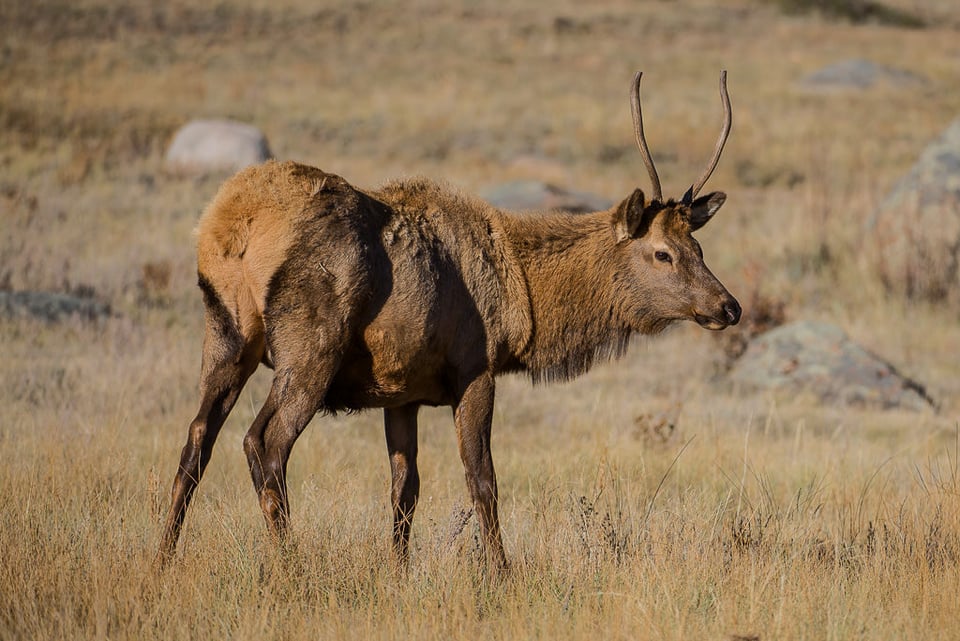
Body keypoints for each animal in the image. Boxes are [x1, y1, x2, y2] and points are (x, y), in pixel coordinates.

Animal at [159, 71, 744, 568]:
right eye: (663, 253)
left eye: (697, 244)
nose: (729, 306)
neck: (524, 299)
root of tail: (230, 224)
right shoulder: (475, 368)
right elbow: (482, 479)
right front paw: (502, 572)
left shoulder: (401, 392)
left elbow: (405, 490)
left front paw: (398, 571)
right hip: (310, 346)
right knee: (264, 441)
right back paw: (290, 564)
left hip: (227, 334)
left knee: (196, 438)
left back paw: (163, 557)